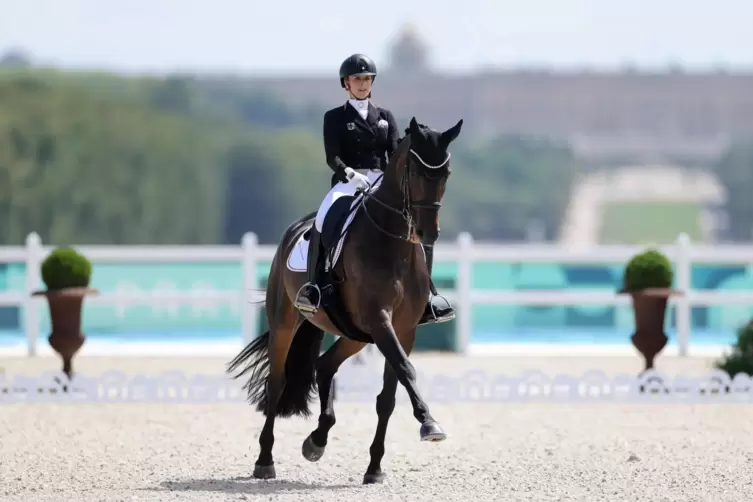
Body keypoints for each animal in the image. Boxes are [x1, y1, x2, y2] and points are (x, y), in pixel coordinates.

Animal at [228, 115, 464, 484]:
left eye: (446, 174)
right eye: (415, 172)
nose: (429, 234)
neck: (391, 243)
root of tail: (296, 227)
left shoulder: (402, 329)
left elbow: (388, 397)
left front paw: (375, 468)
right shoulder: (380, 320)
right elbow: (406, 370)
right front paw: (429, 424)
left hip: (355, 334)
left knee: (324, 366)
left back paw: (317, 440)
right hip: (286, 323)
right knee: (277, 383)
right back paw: (265, 461)